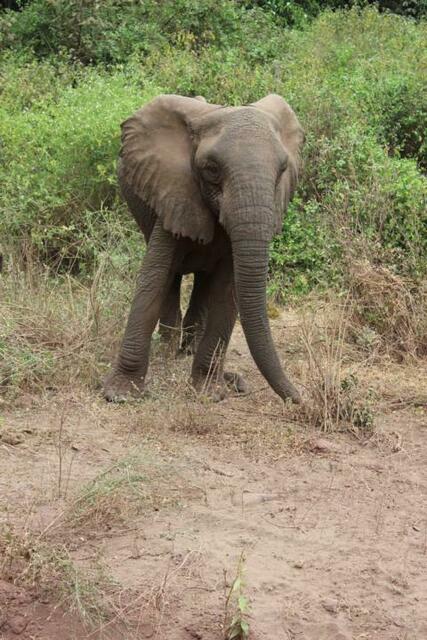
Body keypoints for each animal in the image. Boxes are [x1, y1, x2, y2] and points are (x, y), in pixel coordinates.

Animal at [103, 93, 304, 404]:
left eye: (283, 169)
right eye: (211, 169)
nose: (299, 398)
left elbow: (228, 289)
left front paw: (209, 392)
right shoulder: (174, 190)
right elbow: (153, 278)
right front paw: (120, 395)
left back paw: (191, 352)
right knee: (172, 278)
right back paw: (170, 348)